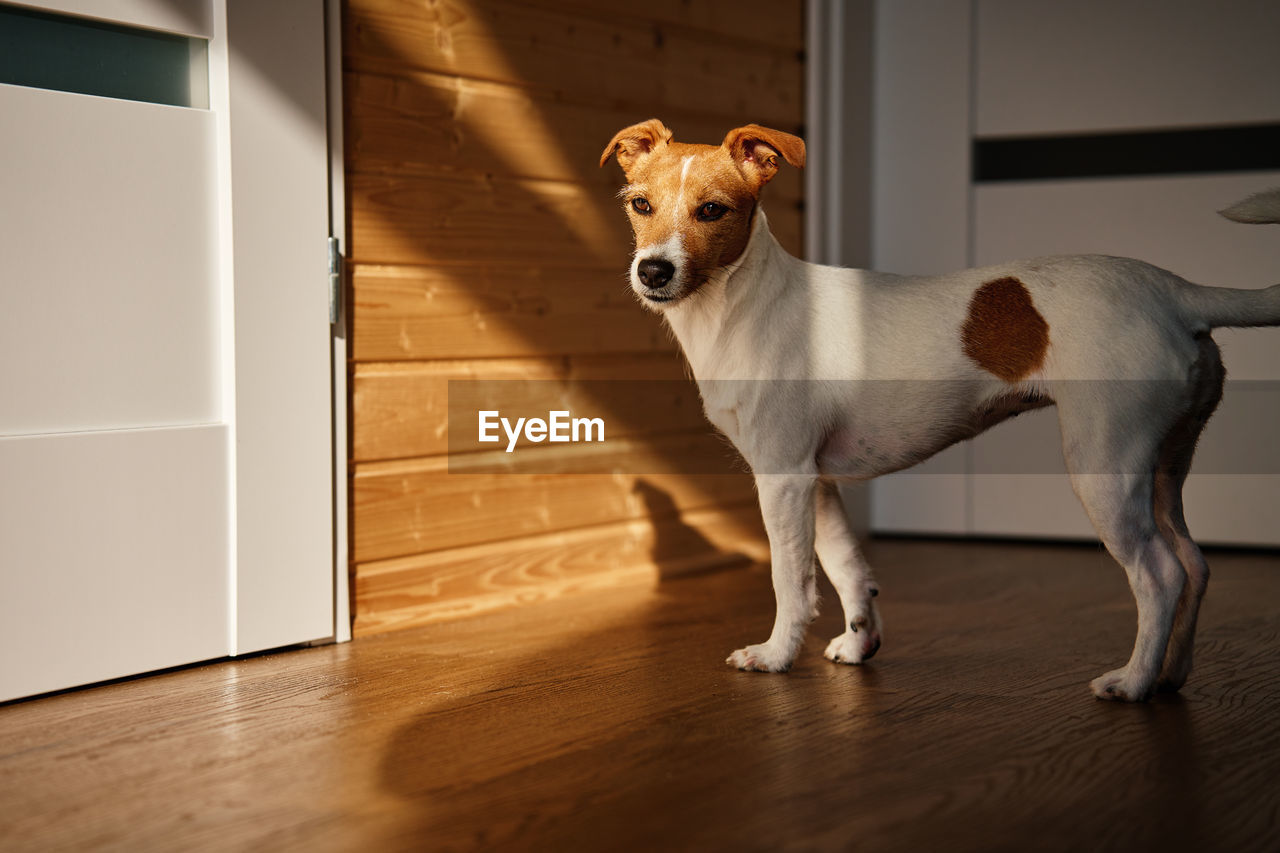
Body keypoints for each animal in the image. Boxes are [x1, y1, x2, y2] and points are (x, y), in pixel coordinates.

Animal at [599, 121, 1280, 701]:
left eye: (712, 210)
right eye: (640, 205)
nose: (652, 271)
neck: (743, 304)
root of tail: (1176, 292)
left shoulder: (783, 477)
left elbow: (792, 581)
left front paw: (775, 656)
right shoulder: (817, 480)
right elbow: (847, 568)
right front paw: (859, 643)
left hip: (1104, 469)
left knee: (1160, 575)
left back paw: (1134, 682)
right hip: (1165, 466)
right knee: (1194, 564)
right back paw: (1170, 674)